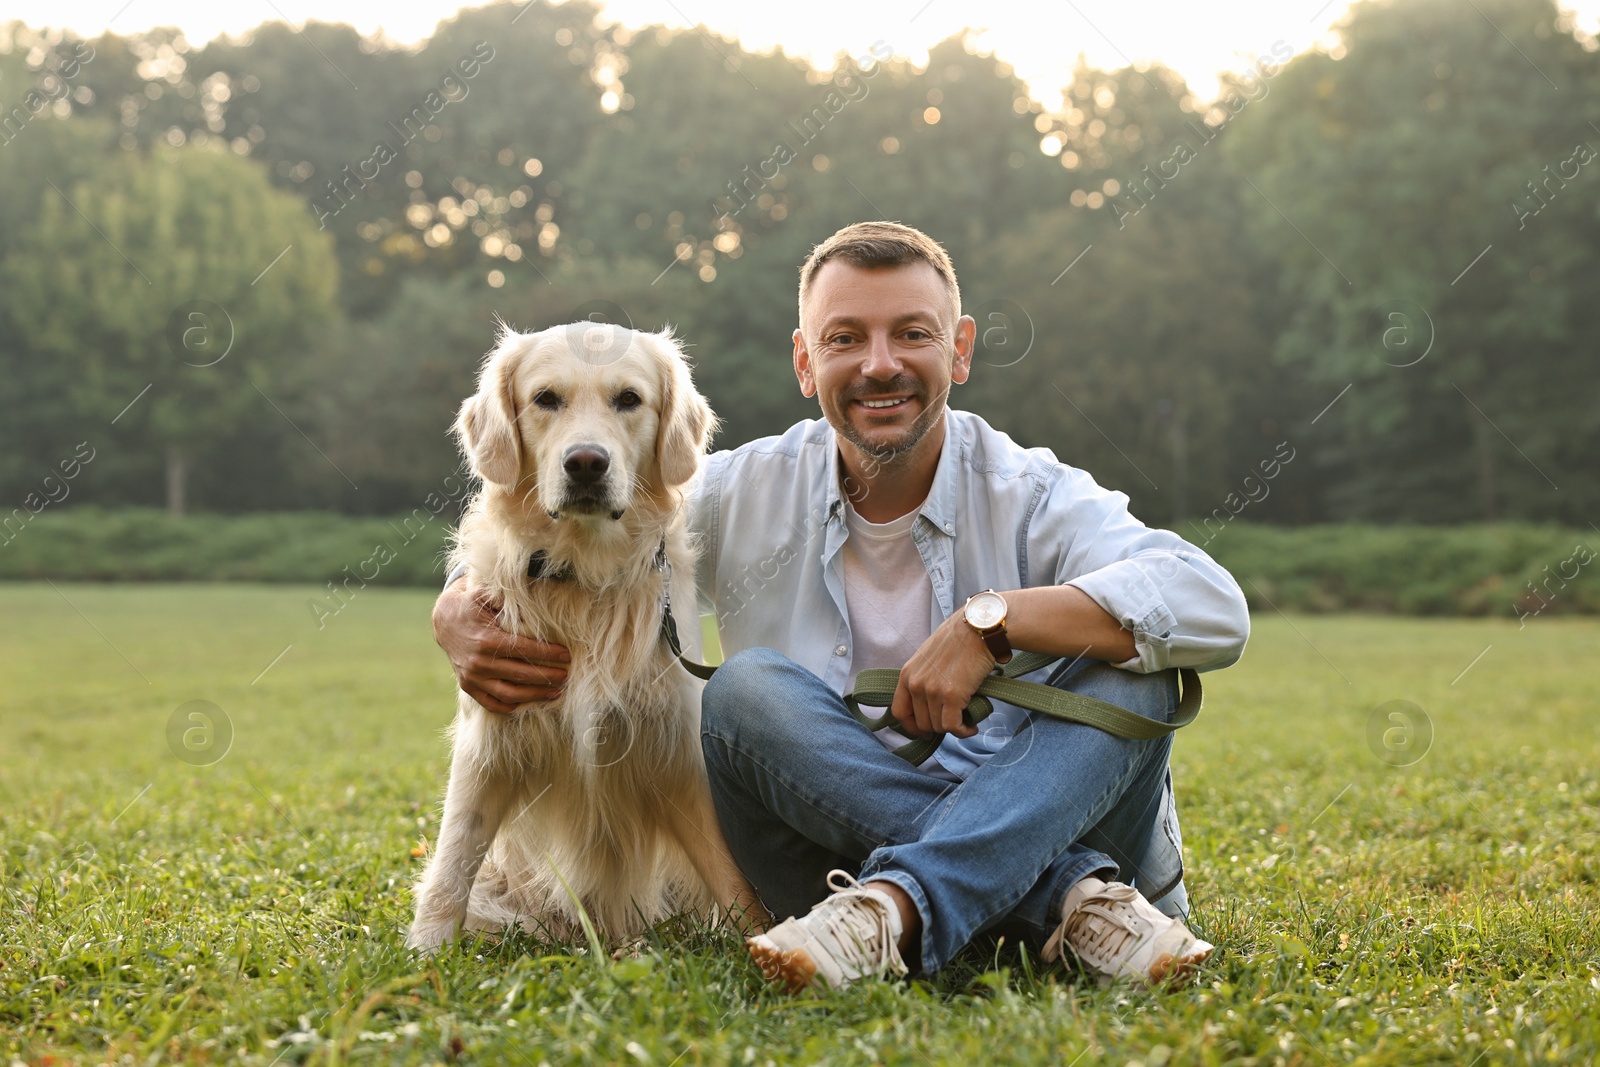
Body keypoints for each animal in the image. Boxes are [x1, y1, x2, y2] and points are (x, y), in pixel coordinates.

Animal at [409, 319, 764, 953]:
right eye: (546, 399)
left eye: (629, 399)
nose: (585, 464)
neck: (583, 578)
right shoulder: (488, 743)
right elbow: (452, 862)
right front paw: (424, 954)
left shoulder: (677, 746)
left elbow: (729, 872)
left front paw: (765, 941)